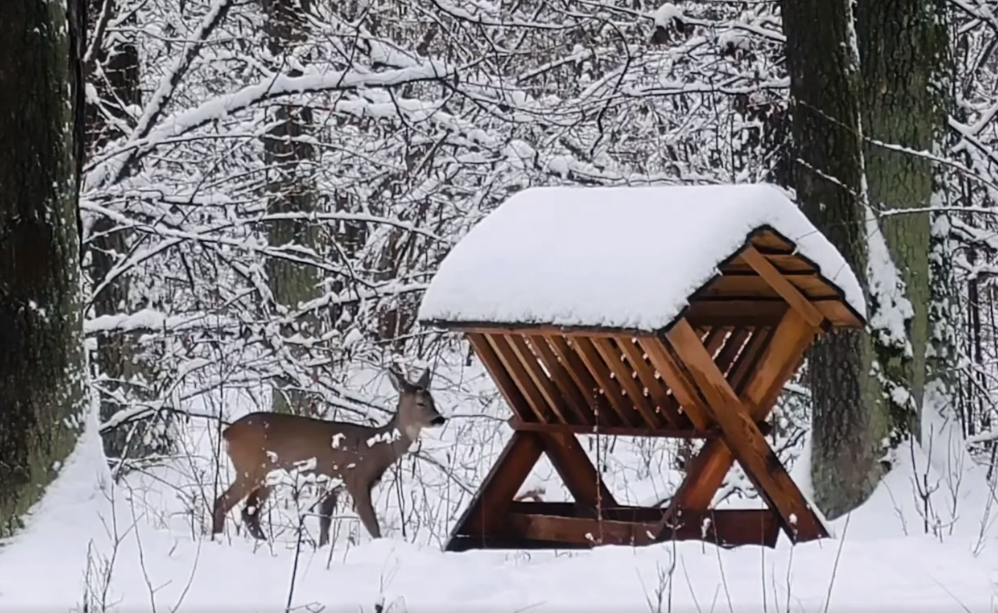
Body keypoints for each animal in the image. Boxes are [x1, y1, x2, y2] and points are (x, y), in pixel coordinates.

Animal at [211, 366, 446, 548]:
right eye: (420, 403)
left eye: (433, 400)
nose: (439, 419)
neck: (375, 449)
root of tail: (227, 432)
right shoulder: (356, 479)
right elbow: (372, 526)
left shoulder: (333, 483)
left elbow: (325, 520)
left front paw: (322, 547)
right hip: (250, 469)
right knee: (223, 502)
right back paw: (218, 540)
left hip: (269, 476)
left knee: (249, 512)